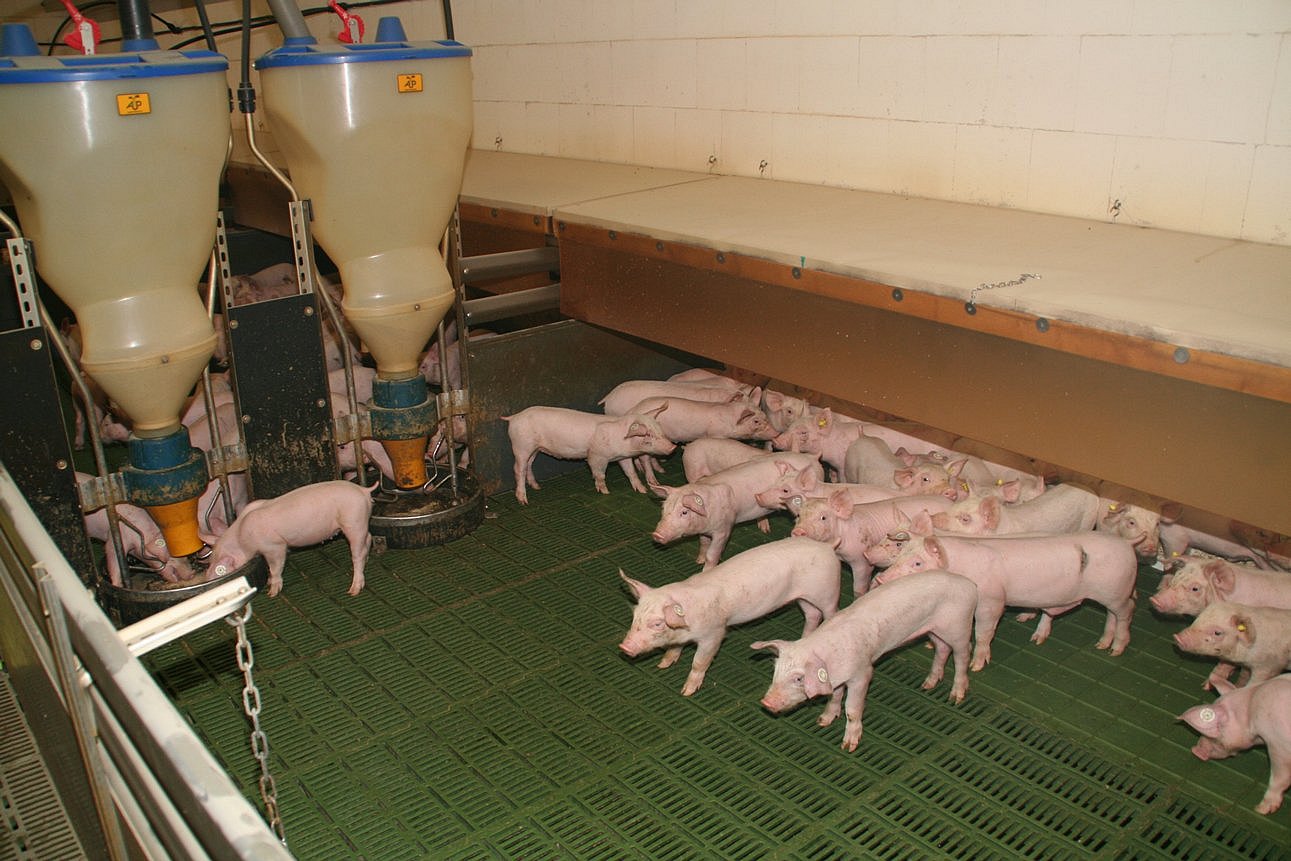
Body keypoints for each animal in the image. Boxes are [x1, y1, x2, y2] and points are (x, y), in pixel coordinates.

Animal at [209, 477, 376, 598]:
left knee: (358, 554)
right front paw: (269, 583)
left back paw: (353, 590)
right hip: (359, 524)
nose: (207, 577)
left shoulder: (275, 546)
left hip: (353, 522)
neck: (241, 535)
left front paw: (272, 593)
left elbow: (275, 567)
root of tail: (363, 490)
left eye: (220, 569)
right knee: (368, 538)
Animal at [619, 542, 841, 697]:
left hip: (828, 592)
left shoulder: (714, 633)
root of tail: (828, 547)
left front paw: (686, 692)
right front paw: (663, 665)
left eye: (657, 623)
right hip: (804, 598)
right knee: (812, 614)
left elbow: (700, 662)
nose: (624, 647)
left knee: (830, 612)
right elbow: (675, 648)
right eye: (635, 616)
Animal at [753, 567, 970, 748]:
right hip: (934, 630)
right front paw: (823, 721)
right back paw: (927, 685)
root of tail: (969, 584)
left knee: (962, 656)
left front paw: (849, 746)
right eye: (775, 670)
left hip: (958, 627)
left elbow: (852, 708)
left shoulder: (862, 673)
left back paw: (956, 698)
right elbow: (835, 696)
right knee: (942, 648)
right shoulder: (837, 678)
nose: (766, 702)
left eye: (799, 678)